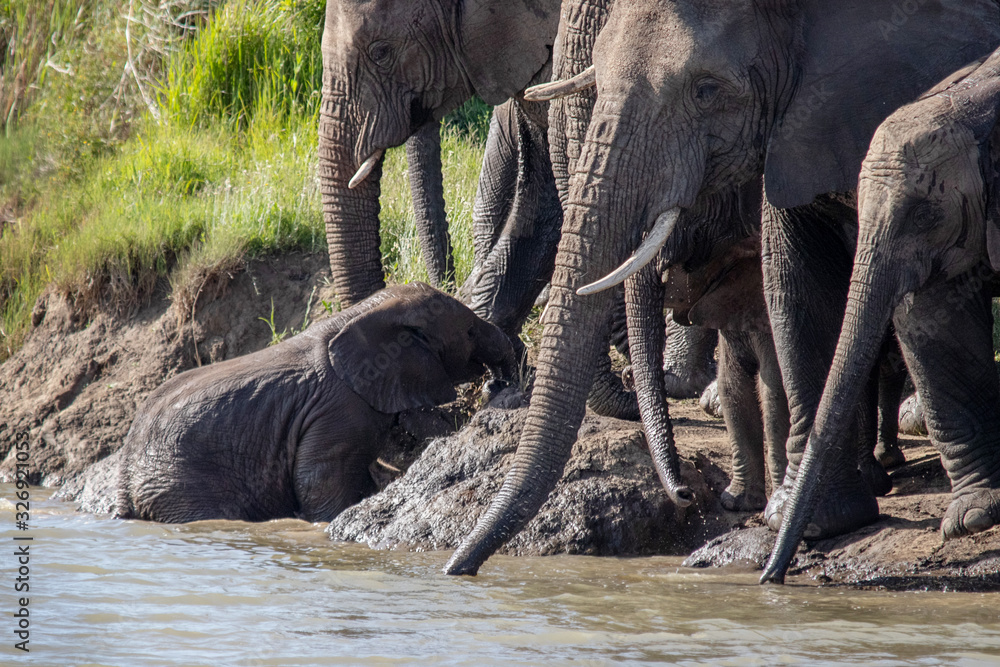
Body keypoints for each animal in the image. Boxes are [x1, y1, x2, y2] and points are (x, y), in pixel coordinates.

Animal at [114, 283, 517, 524]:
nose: (498, 382)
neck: (359, 314)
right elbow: (319, 480)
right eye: (469, 332)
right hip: (182, 483)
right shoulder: (339, 409)